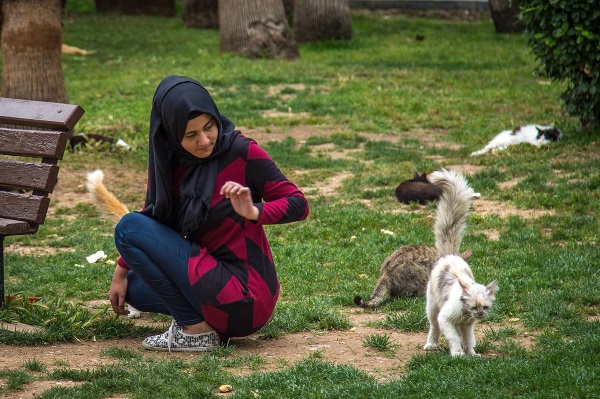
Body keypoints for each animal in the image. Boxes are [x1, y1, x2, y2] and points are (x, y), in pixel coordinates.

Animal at [424, 170, 500, 358]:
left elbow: (468, 339)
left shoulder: (468, 325)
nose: (480, 314)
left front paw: (471, 354)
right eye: (474, 306)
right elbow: (453, 337)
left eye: (485, 307)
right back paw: (431, 344)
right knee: (433, 327)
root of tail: (450, 254)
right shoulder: (445, 319)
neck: (465, 313)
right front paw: (458, 354)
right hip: (432, 308)